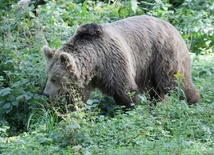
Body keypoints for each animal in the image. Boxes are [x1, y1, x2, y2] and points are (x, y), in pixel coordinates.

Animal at [42, 14, 201, 108]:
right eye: (48, 76)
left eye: (55, 78)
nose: (45, 94)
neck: (95, 63)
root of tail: (172, 26)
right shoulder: (86, 78)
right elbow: (78, 97)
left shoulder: (113, 62)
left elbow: (125, 90)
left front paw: (130, 108)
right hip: (149, 67)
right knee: (156, 90)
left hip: (163, 54)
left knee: (174, 81)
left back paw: (193, 101)